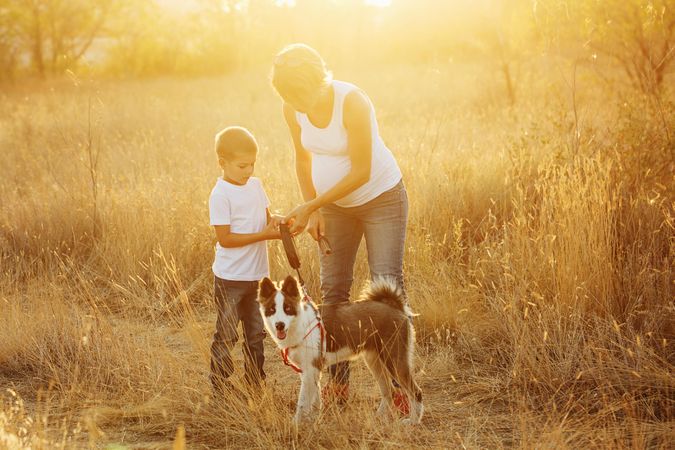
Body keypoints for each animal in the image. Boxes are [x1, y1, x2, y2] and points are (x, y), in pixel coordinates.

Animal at [256, 274, 426, 426]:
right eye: (272, 309)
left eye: (287, 308)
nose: (279, 325)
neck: (301, 324)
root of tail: (394, 307)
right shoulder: (310, 372)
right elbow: (315, 400)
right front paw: (313, 420)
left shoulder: (310, 370)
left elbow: (303, 402)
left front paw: (296, 424)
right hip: (375, 361)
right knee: (389, 391)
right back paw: (379, 416)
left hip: (394, 361)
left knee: (415, 392)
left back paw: (413, 421)